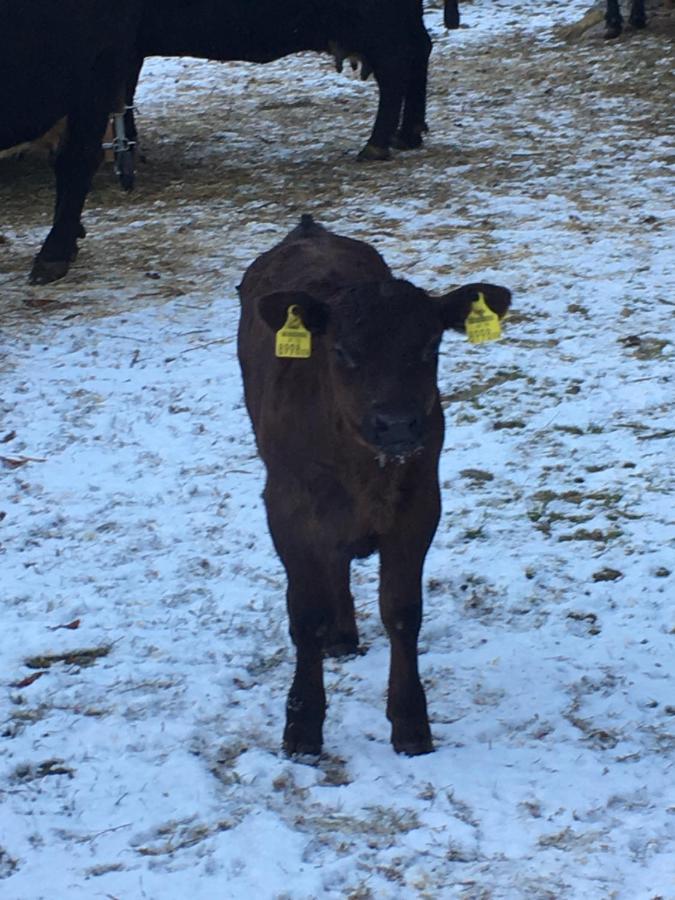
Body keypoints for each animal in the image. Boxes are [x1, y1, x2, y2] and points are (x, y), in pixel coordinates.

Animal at [238, 214, 512, 756]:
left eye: (431, 346)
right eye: (342, 350)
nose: (398, 424)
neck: (363, 467)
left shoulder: (420, 503)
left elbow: (402, 612)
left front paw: (410, 724)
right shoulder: (286, 506)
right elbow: (305, 614)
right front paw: (302, 727)